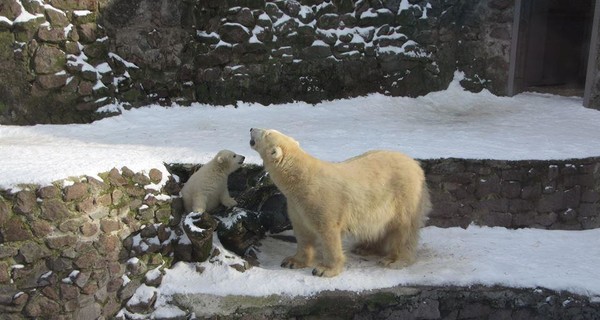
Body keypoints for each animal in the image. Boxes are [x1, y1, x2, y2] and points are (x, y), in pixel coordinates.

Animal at [250, 127, 432, 278]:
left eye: (266, 133)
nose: (251, 128)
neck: (301, 179)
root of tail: (416, 165)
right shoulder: (297, 205)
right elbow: (303, 232)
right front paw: (292, 261)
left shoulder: (322, 201)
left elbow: (328, 233)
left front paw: (324, 270)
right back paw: (364, 248)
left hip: (404, 194)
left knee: (404, 228)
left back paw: (394, 260)